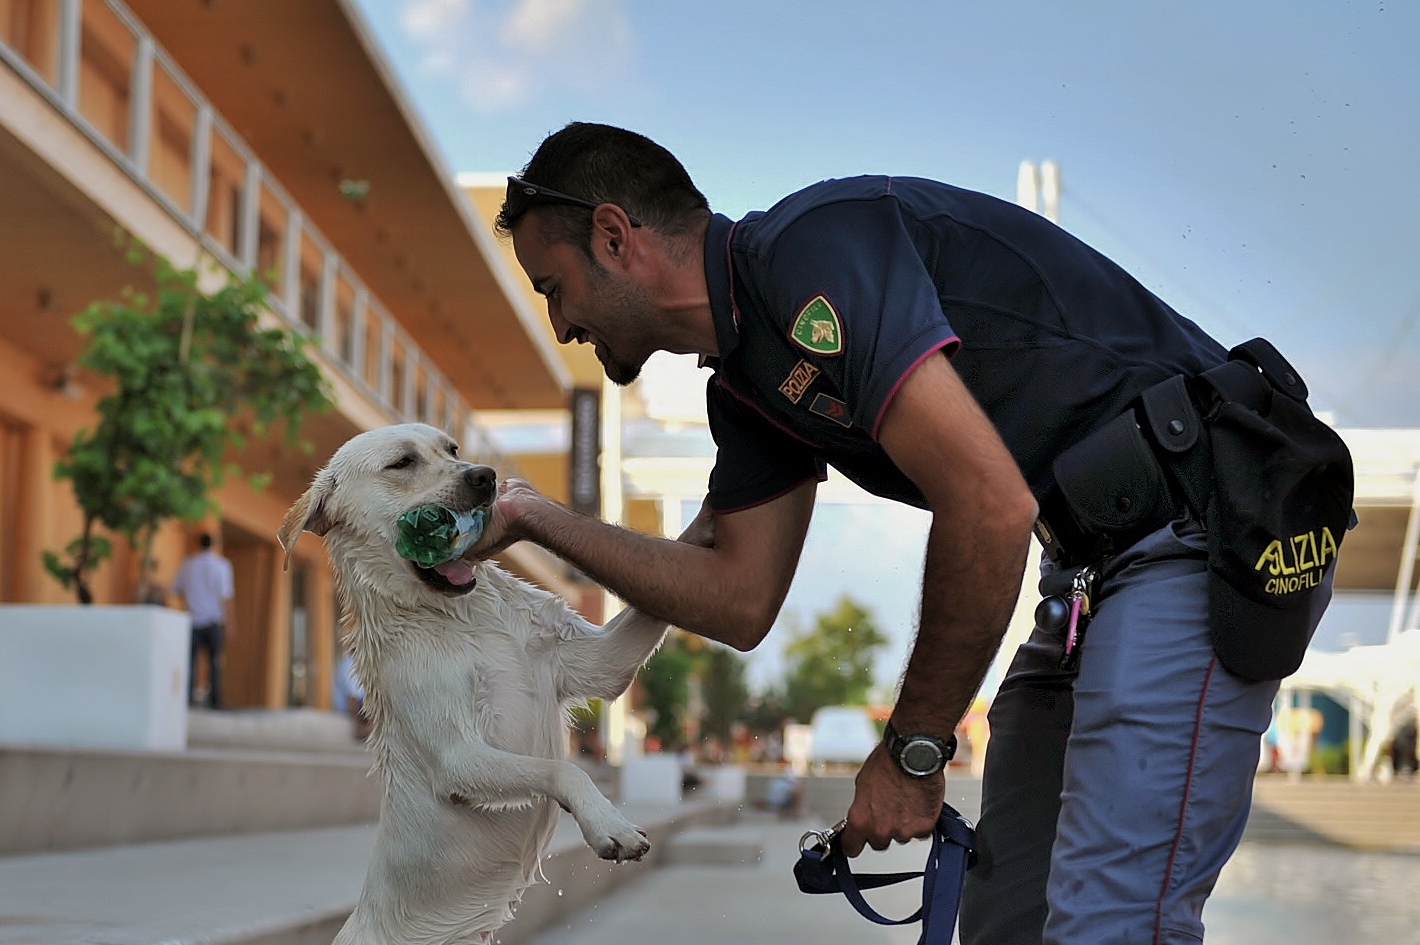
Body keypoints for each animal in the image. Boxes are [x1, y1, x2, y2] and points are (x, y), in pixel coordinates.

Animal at [276, 426, 704, 943]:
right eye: (402, 463)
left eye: (452, 449)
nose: (485, 476)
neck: (463, 617)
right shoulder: (459, 756)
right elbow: (563, 770)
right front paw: (609, 825)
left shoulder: (600, 661)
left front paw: (711, 516)